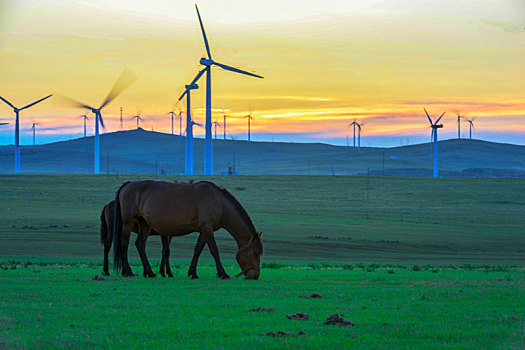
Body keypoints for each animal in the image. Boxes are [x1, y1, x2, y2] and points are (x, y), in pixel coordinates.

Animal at [113, 180, 264, 278]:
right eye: (255, 253)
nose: (255, 276)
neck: (219, 202)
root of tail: (127, 185)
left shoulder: (204, 230)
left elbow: (197, 250)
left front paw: (193, 273)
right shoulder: (207, 228)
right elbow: (214, 251)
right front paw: (223, 274)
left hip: (144, 224)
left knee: (140, 245)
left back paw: (149, 272)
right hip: (128, 222)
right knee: (124, 243)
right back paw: (128, 272)